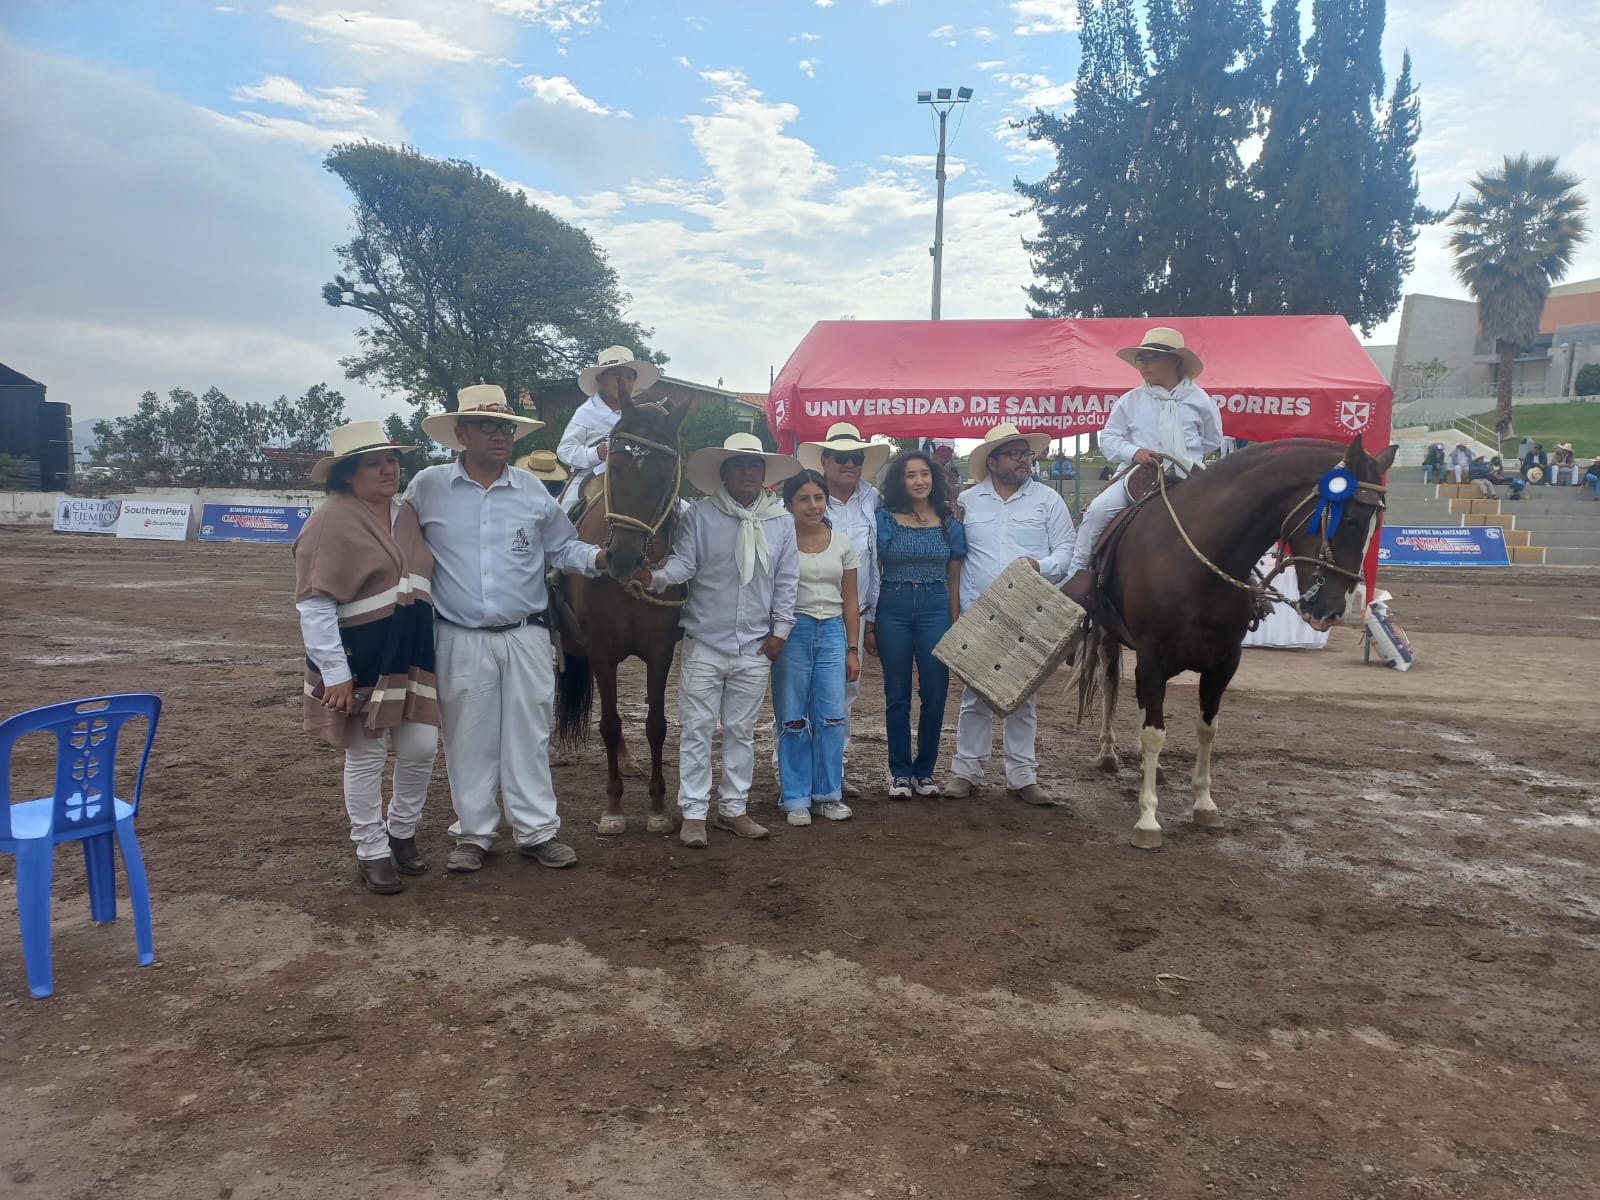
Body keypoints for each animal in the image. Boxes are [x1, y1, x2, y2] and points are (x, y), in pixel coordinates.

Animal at [550, 400, 688, 832]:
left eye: (665, 477)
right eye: (615, 466)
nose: (622, 559)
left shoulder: (660, 650)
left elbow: (656, 725)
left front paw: (658, 806)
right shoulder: (600, 649)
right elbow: (609, 724)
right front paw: (613, 807)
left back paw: (628, 762)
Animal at [1075, 432, 1401, 844]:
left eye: (1377, 526)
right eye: (1354, 520)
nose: (1331, 612)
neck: (1195, 562)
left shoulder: (1224, 662)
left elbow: (1206, 729)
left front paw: (1204, 805)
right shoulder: (1151, 657)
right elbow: (1154, 733)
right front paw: (1148, 819)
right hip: (1108, 636)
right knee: (1110, 684)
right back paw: (1107, 753)